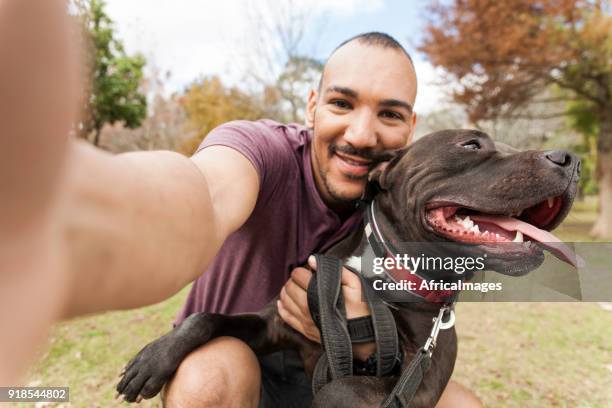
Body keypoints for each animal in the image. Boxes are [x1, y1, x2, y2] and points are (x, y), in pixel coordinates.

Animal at [115, 129, 580, 406]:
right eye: (471, 145)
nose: (571, 159)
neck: (380, 273)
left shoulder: (420, 381)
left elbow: (343, 386)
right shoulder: (273, 324)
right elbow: (205, 318)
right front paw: (155, 358)